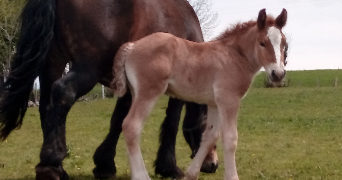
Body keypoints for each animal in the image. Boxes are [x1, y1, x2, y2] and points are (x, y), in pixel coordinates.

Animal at [0, 0, 218, 179]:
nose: (213, 165)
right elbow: (171, 122)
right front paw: (169, 168)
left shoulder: (129, 88)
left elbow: (118, 120)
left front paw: (104, 164)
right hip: (88, 68)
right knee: (63, 93)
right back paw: (51, 165)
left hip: (52, 64)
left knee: (46, 104)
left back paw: (55, 165)